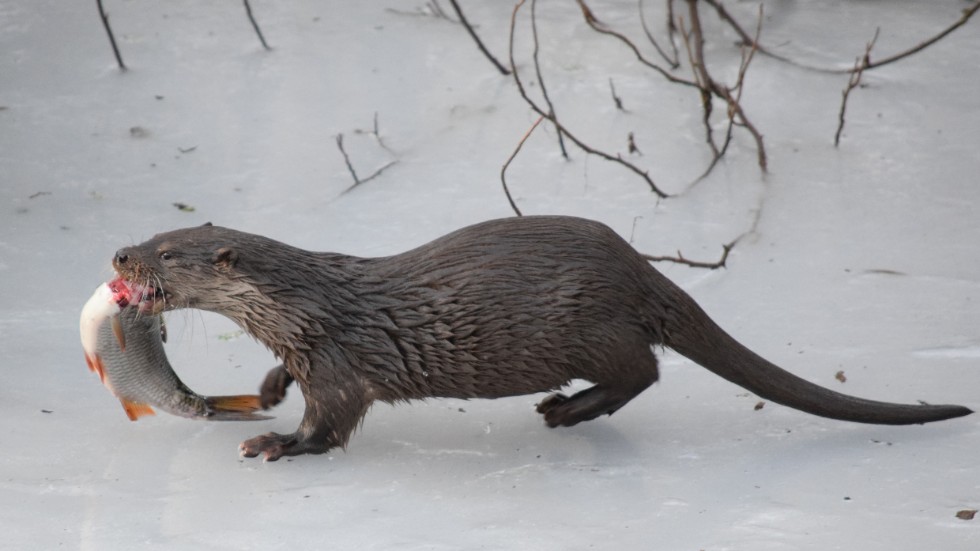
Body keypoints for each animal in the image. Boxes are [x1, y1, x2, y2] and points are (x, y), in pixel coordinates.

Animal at [111, 216, 968, 462]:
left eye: (167, 254)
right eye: (150, 236)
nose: (120, 255)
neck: (308, 307)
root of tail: (642, 272)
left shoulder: (343, 364)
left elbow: (332, 422)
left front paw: (278, 443)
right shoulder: (306, 345)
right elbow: (285, 377)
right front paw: (266, 390)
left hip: (587, 326)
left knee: (644, 369)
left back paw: (567, 410)